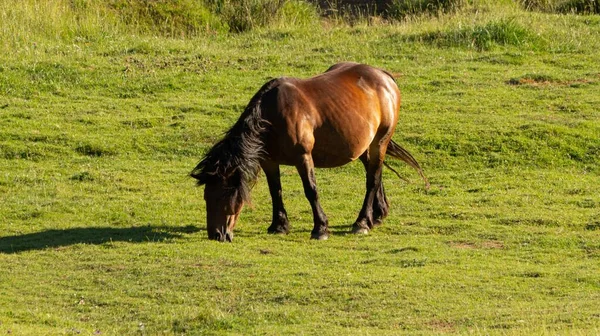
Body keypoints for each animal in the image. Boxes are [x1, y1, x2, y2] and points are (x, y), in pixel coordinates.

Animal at [191, 62, 426, 242]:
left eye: (222, 196)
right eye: (206, 196)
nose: (216, 235)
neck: (273, 116)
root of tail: (384, 76)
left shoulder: (303, 157)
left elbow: (311, 190)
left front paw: (320, 229)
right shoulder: (269, 161)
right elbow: (275, 191)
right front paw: (279, 226)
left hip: (379, 142)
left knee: (373, 180)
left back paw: (362, 223)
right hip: (364, 146)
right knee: (374, 173)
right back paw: (376, 215)